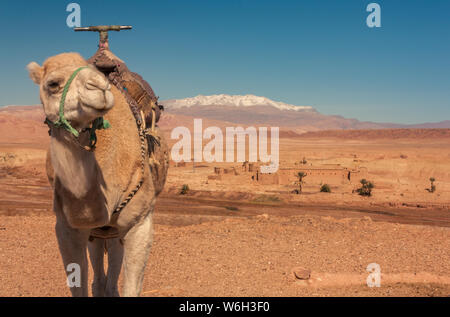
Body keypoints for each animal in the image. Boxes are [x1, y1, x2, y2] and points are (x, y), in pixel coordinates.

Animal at [27, 52, 169, 296]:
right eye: (53, 84)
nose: (99, 87)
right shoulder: (67, 227)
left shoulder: (140, 223)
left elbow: (131, 287)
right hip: (99, 231)